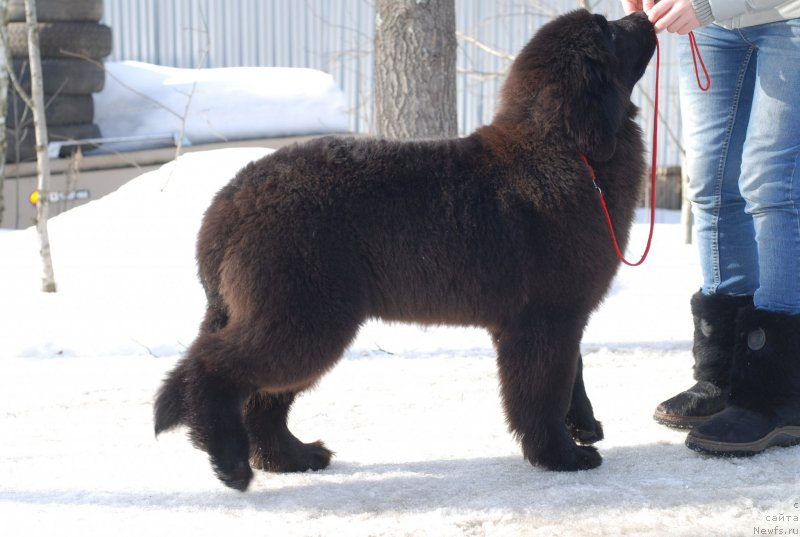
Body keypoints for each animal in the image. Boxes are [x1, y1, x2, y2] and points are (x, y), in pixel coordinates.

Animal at [155, 10, 656, 492]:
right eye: (608, 31)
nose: (645, 18)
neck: (567, 151)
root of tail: (227, 205)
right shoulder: (545, 319)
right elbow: (545, 392)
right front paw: (562, 456)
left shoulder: (562, 316)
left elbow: (575, 375)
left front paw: (585, 428)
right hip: (304, 316)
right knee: (214, 368)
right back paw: (231, 461)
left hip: (294, 315)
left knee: (261, 399)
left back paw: (292, 457)